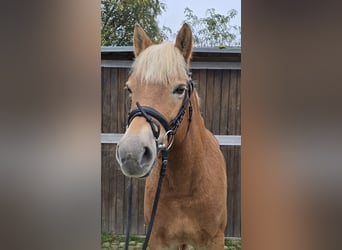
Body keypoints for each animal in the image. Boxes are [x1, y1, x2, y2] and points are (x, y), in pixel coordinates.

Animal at [115, 23, 227, 250]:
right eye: (129, 88)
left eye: (180, 89)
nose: (131, 154)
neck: (185, 186)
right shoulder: (158, 241)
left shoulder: (214, 240)